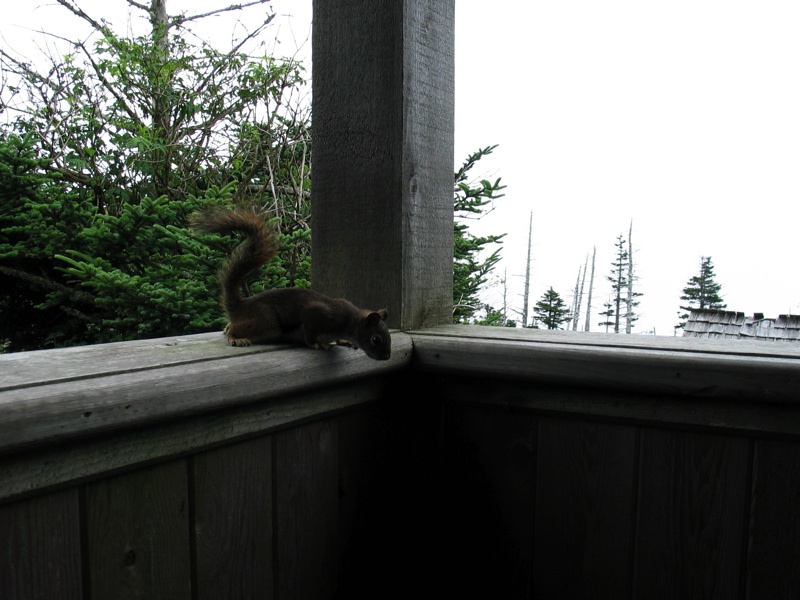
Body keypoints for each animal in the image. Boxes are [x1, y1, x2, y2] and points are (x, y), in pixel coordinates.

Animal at [194, 205, 394, 360]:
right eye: (376, 339)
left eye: (388, 337)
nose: (386, 357)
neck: (348, 320)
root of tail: (241, 305)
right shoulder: (316, 313)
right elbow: (309, 333)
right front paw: (318, 344)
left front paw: (344, 341)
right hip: (268, 322)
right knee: (238, 327)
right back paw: (235, 337)